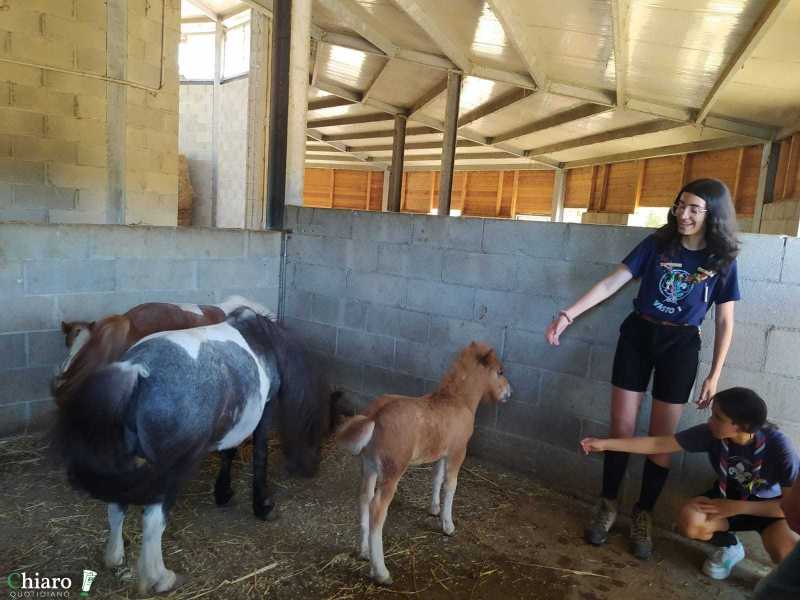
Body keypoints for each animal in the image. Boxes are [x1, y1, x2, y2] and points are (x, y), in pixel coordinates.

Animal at [53, 310, 324, 596]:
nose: (312, 468)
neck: (263, 340)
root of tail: (136, 370)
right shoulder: (265, 411)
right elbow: (259, 456)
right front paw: (262, 506)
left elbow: (228, 452)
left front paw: (223, 492)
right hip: (167, 473)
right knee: (153, 520)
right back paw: (161, 578)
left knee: (116, 507)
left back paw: (115, 558)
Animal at [334, 344, 510, 584]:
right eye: (500, 371)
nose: (509, 393)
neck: (458, 400)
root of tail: (374, 415)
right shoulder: (457, 451)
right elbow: (451, 485)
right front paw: (448, 525)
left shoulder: (441, 452)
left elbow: (437, 478)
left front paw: (434, 509)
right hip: (392, 470)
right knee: (377, 508)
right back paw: (381, 571)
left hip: (368, 465)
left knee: (364, 498)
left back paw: (364, 552)